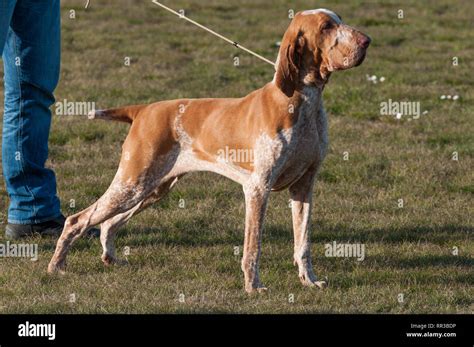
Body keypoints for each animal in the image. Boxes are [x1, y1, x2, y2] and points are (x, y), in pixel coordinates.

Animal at [47, 8, 370, 294]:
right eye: (327, 26)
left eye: (340, 20)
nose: (367, 40)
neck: (303, 101)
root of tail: (143, 110)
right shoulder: (258, 188)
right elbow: (253, 248)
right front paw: (253, 287)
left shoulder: (304, 185)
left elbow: (303, 243)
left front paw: (309, 281)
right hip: (133, 184)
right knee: (78, 220)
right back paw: (56, 266)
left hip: (152, 188)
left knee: (108, 223)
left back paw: (110, 258)